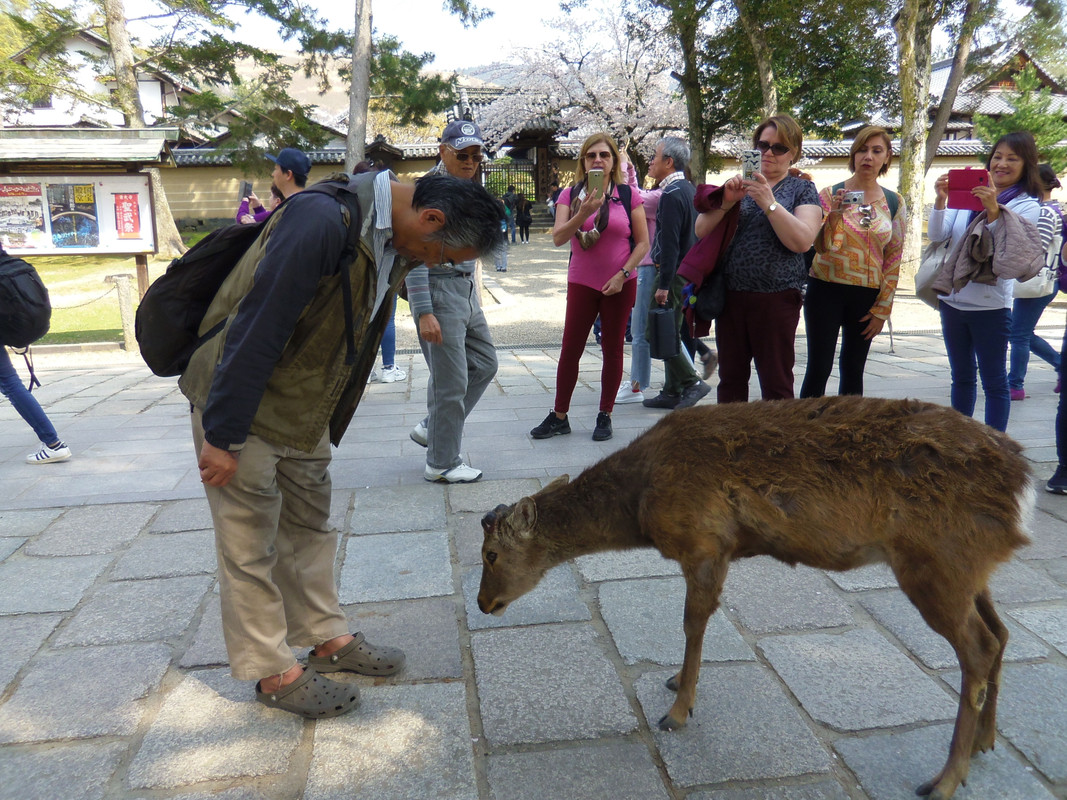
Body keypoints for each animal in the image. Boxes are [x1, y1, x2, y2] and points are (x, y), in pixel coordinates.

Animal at [480, 396, 1028, 800]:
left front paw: (677, 711)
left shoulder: (705, 541)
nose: (483, 604)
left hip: (935, 562)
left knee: (978, 646)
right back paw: (985, 741)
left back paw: (944, 780)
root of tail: (1021, 487)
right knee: (1001, 633)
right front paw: (676, 682)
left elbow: (692, 621)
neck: (640, 505)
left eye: (489, 553)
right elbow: (697, 623)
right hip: (966, 568)